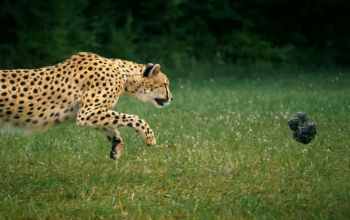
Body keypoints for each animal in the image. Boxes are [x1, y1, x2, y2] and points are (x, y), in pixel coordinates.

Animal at [0, 52, 172, 158]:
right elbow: (134, 118)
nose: (171, 98)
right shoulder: (87, 112)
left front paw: (116, 145)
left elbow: (112, 124)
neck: (123, 73)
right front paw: (149, 137)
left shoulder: (88, 113)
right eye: (165, 84)